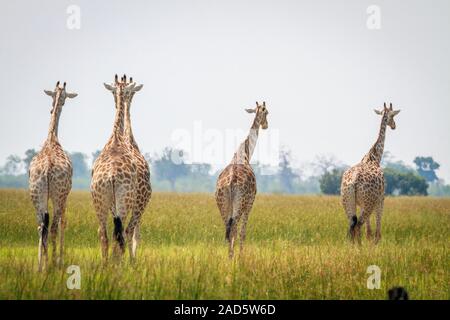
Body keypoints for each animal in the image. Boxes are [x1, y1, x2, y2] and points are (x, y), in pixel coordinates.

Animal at [28, 80, 77, 270]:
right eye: (64, 97)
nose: (55, 106)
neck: (51, 139)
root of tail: (48, 168)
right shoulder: (65, 195)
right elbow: (64, 222)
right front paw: (60, 260)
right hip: (57, 195)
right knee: (54, 226)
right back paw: (53, 264)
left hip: (37, 195)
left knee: (41, 227)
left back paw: (41, 266)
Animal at [91, 75, 139, 262]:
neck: (116, 138)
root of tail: (111, 176)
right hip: (123, 203)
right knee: (120, 234)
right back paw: (115, 263)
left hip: (100, 202)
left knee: (104, 233)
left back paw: (106, 264)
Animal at [214, 101, 268, 258]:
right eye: (267, 112)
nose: (266, 125)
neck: (245, 153)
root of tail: (231, 182)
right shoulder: (250, 203)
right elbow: (243, 232)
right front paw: (242, 256)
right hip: (240, 204)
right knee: (234, 230)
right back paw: (233, 257)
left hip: (223, 205)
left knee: (228, 229)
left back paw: (229, 256)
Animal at [342, 102, 400, 245]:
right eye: (392, 115)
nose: (394, 125)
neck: (373, 157)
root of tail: (354, 181)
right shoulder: (381, 199)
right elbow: (377, 229)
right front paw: (375, 244)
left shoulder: (363, 203)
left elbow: (368, 230)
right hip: (369, 203)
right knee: (358, 225)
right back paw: (359, 247)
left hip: (348, 203)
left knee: (352, 225)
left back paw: (354, 246)